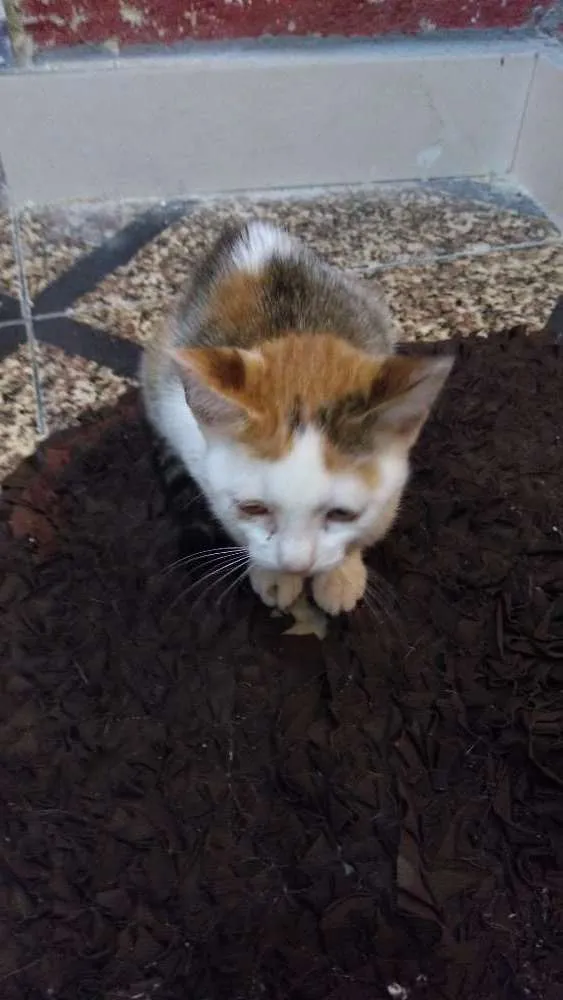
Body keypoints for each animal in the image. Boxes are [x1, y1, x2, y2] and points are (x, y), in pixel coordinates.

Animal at [142, 223, 454, 616]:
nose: (295, 564)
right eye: (253, 508)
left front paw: (341, 571)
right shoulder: (187, 437)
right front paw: (271, 573)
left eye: (342, 514)